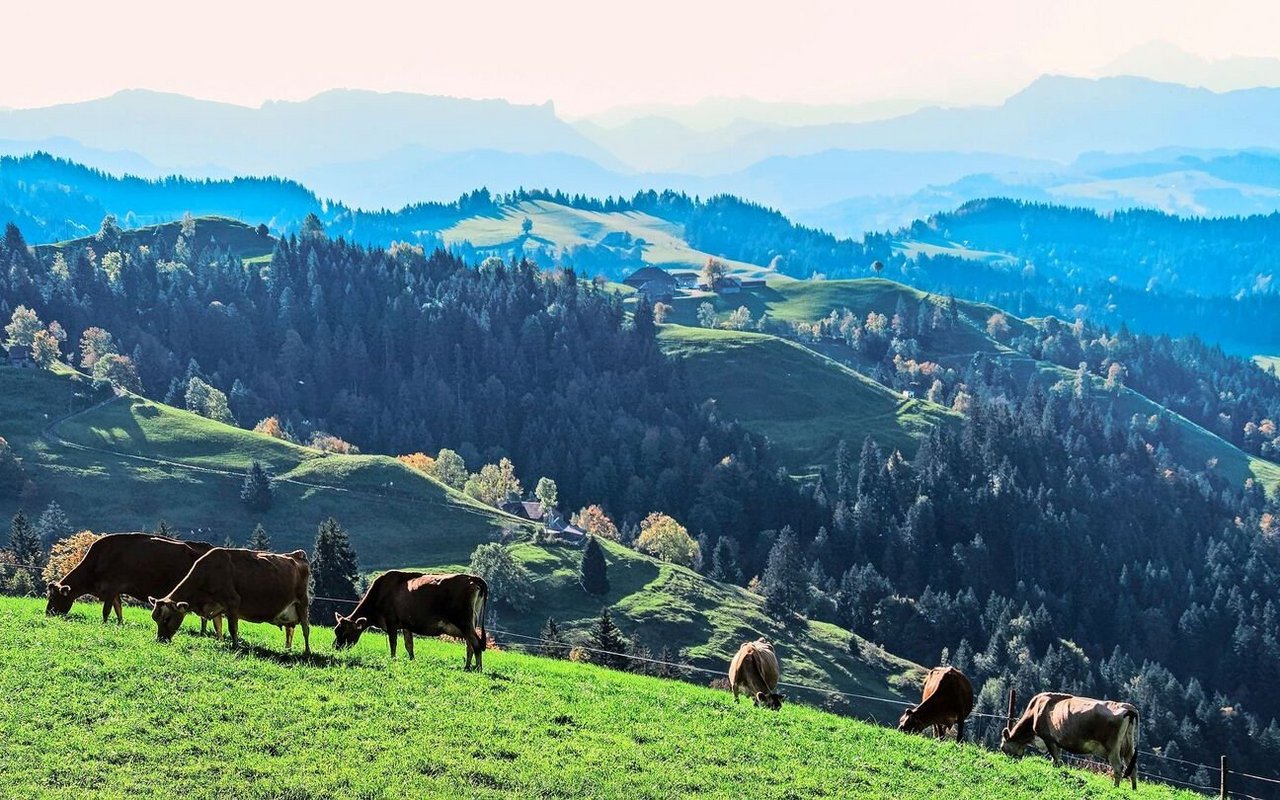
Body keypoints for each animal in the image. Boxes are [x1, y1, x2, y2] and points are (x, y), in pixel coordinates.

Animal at [46, 529, 222, 637]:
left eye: (53, 598)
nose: (47, 614)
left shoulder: (111, 588)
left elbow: (106, 611)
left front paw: (104, 625)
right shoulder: (116, 591)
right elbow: (118, 610)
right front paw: (119, 624)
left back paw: (202, 633)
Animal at [147, 545, 309, 652]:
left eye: (167, 619)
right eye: (155, 619)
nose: (160, 640)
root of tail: (296, 555)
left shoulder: (233, 602)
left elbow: (232, 628)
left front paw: (235, 646)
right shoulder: (216, 607)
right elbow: (218, 627)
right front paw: (220, 642)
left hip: (302, 602)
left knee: (305, 629)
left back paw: (307, 652)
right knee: (290, 630)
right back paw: (287, 651)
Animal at [330, 570, 488, 670]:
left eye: (346, 633)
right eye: (336, 631)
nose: (335, 648)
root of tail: (474, 578)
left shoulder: (391, 622)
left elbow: (393, 643)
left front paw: (392, 659)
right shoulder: (407, 625)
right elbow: (409, 645)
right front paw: (412, 661)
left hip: (464, 622)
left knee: (476, 644)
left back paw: (478, 668)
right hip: (469, 623)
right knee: (470, 645)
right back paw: (467, 667)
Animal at [998, 691, 1141, 788]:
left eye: (1003, 748)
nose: (1010, 761)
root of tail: (1128, 708)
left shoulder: (1049, 739)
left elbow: (1056, 759)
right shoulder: (1057, 742)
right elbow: (1056, 760)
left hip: (1112, 747)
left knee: (1118, 767)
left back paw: (1115, 788)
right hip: (1128, 746)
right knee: (1133, 768)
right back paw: (1133, 790)